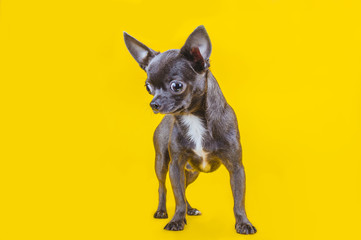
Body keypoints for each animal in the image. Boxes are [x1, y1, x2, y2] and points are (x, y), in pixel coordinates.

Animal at [124, 25, 256, 233]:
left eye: (176, 86)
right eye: (148, 88)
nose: (154, 104)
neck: (193, 118)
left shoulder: (236, 168)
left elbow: (238, 201)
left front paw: (244, 223)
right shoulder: (176, 166)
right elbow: (177, 197)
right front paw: (177, 220)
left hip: (192, 171)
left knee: (184, 188)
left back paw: (190, 209)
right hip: (162, 163)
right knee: (163, 187)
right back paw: (162, 211)